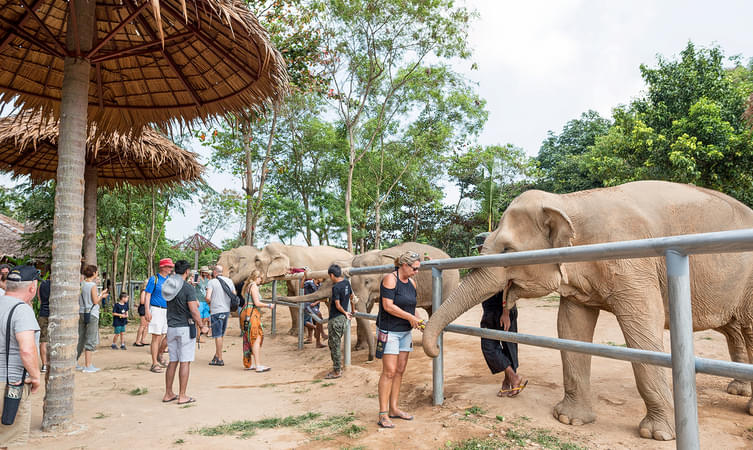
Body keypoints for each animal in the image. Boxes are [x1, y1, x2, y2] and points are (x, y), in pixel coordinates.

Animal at [424, 181, 753, 442]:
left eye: (506, 250)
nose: (434, 349)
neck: (568, 202)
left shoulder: (634, 264)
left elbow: (642, 331)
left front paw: (657, 434)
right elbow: (571, 328)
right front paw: (568, 419)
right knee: (736, 328)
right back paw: (739, 391)